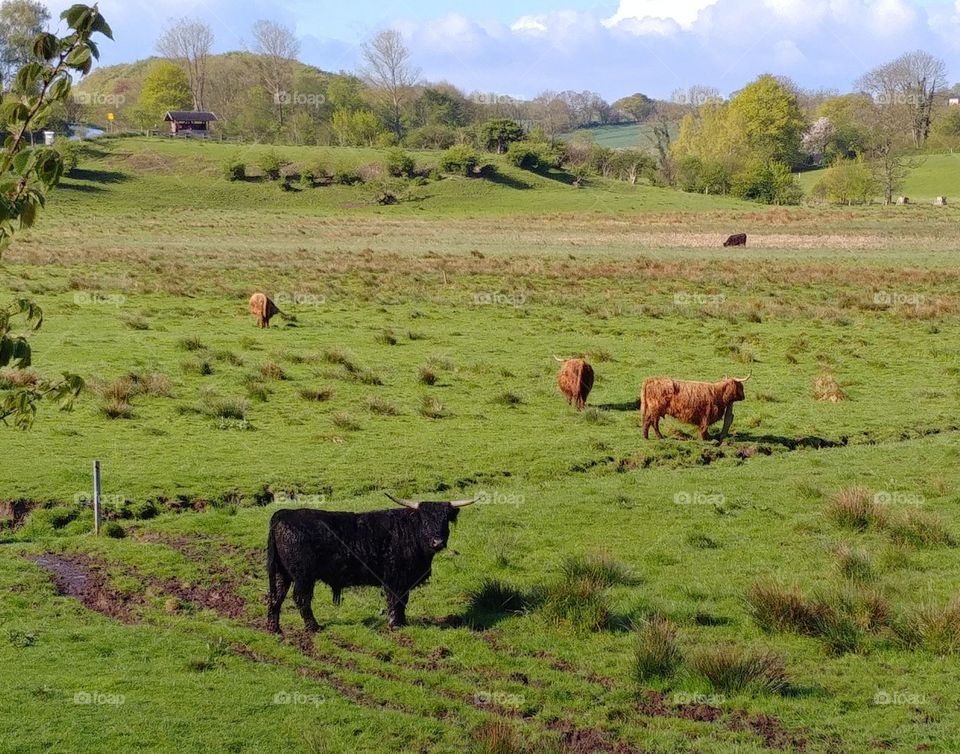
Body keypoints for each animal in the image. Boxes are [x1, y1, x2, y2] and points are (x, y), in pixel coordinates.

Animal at [266, 493, 477, 632]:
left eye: (445, 520)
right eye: (424, 520)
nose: (437, 542)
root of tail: (284, 514)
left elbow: (402, 600)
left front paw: (402, 622)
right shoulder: (396, 578)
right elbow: (396, 599)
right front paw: (396, 624)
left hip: (281, 573)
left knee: (276, 597)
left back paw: (274, 628)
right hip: (303, 576)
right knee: (301, 599)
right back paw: (314, 627)